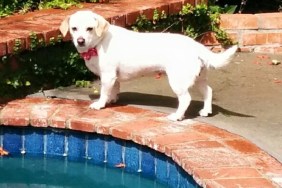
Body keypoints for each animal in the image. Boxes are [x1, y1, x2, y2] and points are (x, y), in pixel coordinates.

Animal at [59, 10, 238, 121]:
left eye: (89, 29)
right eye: (74, 28)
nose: (80, 41)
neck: (99, 43)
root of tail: (195, 45)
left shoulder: (108, 75)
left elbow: (104, 92)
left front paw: (100, 104)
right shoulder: (113, 77)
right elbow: (114, 89)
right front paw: (112, 99)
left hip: (178, 81)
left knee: (186, 99)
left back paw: (177, 116)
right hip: (199, 79)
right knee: (208, 91)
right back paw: (206, 110)